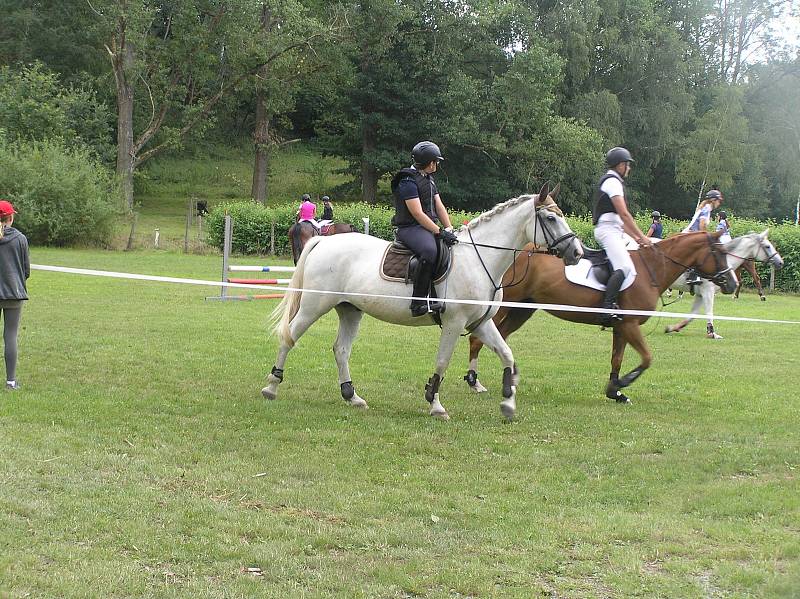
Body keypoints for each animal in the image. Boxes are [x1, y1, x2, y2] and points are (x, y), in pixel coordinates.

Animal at [266, 183, 584, 422]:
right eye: (551, 218)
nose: (577, 252)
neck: (479, 259)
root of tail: (324, 241)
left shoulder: (480, 324)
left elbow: (507, 355)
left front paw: (508, 404)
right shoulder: (454, 322)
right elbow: (443, 361)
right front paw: (435, 404)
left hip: (350, 309)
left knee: (341, 349)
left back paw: (352, 396)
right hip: (314, 305)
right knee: (289, 336)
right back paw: (271, 386)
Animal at [466, 232, 740, 406]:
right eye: (720, 252)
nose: (732, 284)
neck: (650, 268)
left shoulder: (621, 327)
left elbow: (617, 359)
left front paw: (614, 392)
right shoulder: (630, 325)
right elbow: (647, 358)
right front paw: (624, 383)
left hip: (522, 310)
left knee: (498, 340)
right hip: (503, 307)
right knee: (476, 340)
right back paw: (474, 382)